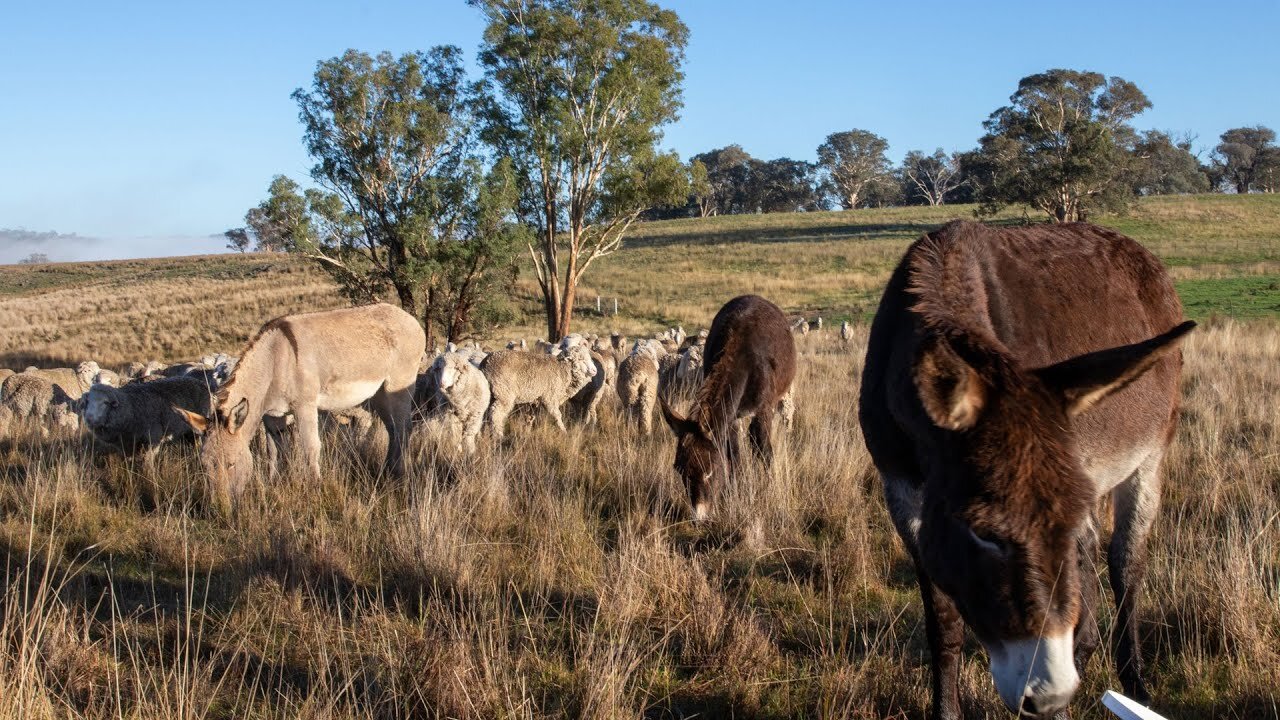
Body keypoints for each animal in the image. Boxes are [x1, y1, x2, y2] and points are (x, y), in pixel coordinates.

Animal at [83, 376, 212, 453]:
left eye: (105, 402)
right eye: (88, 401)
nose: (89, 418)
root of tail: (199, 382)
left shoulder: (153, 440)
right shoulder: (126, 446)